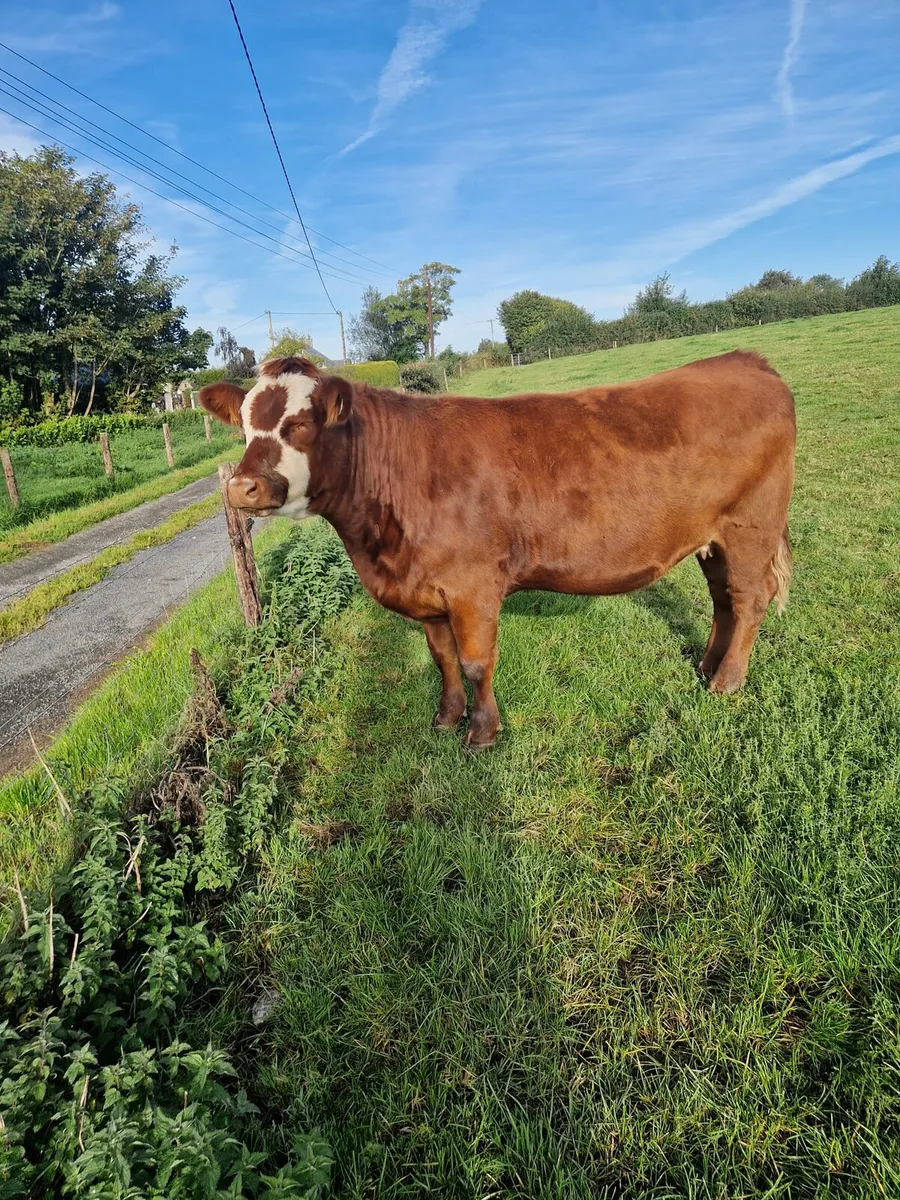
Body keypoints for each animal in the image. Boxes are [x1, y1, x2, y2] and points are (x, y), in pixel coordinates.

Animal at [199, 351, 795, 749]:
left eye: (299, 424)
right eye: (243, 427)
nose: (243, 487)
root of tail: (745, 360)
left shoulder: (473, 586)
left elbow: (476, 661)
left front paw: (482, 731)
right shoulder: (427, 591)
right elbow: (442, 658)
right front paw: (446, 718)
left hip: (751, 526)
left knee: (749, 599)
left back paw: (726, 683)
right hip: (712, 539)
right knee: (723, 599)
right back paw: (707, 664)